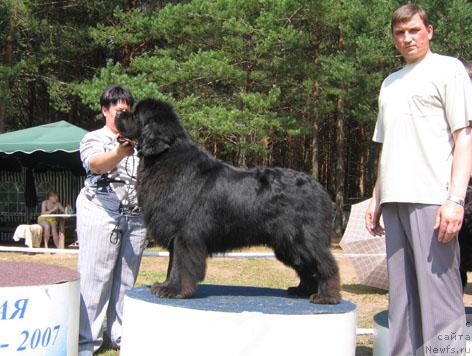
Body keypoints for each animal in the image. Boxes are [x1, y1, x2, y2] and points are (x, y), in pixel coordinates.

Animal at [116, 98, 342, 304]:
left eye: (135, 115)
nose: (118, 112)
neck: (164, 158)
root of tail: (320, 188)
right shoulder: (176, 237)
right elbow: (172, 264)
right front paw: (165, 285)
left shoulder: (184, 235)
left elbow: (181, 265)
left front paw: (174, 290)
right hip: (288, 244)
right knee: (306, 267)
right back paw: (302, 290)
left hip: (304, 238)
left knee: (325, 264)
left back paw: (326, 297)